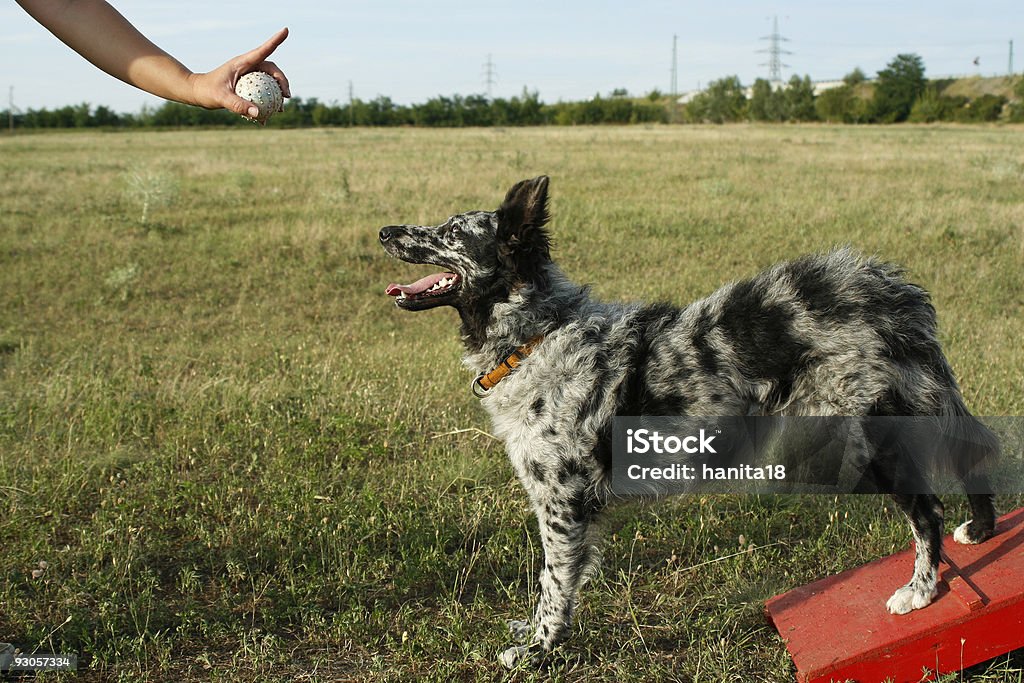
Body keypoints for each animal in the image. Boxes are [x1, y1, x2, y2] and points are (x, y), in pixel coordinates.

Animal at [380, 176, 995, 667]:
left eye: (451, 231)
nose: (385, 230)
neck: (538, 333)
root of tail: (886, 289)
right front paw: (532, 635)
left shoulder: (562, 502)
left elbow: (554, 585)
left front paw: (539, 650)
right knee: (973, 451)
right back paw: (983, 529)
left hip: (861, 438)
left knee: (928, 510)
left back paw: (920, 590)